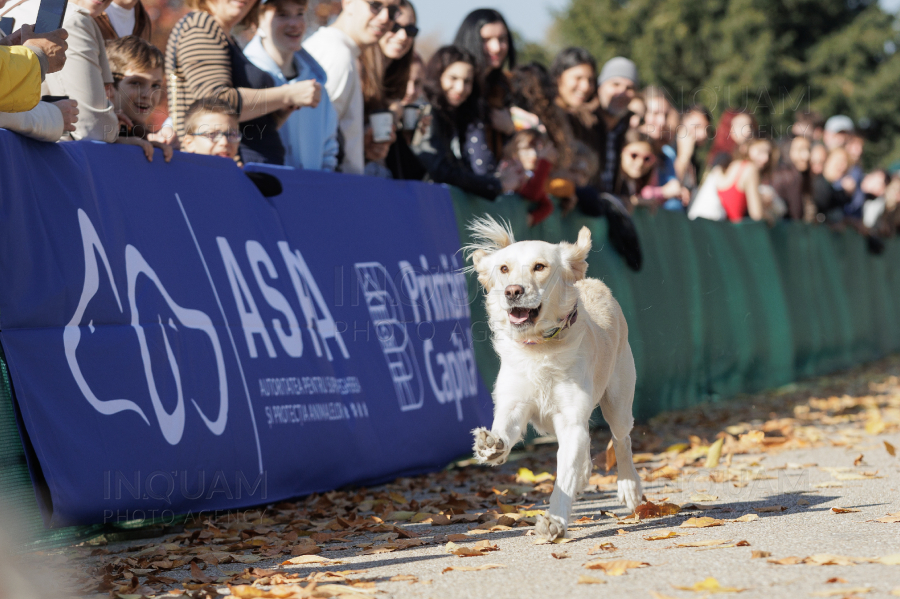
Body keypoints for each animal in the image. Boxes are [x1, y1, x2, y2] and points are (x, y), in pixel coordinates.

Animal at [464, 218, 640, 540]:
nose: (512, 291)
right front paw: (491, 447)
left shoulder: (571, 419)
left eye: (539, 266)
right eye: (503, 268)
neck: (539, 350)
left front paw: (554, 521)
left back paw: (629, 487)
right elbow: (505, 431)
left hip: (618, 402)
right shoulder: (515, 405)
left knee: (622, 440)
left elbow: (564, 476)